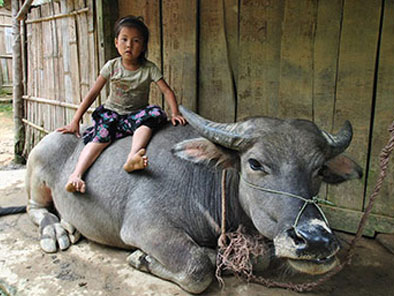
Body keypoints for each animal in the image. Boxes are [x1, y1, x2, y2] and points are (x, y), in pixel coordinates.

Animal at [24, 105, 362, 292]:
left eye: (320, 168)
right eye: (255, 164)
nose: (316, 240)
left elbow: (261, 257)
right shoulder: (145, 227)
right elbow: (198, 267)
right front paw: (142, 258)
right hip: (38, 168)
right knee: (34, 207)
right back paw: (57, 230)